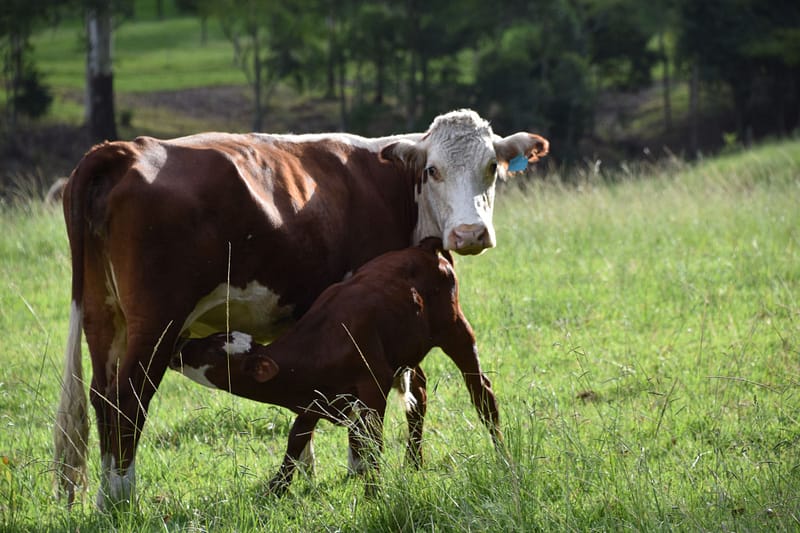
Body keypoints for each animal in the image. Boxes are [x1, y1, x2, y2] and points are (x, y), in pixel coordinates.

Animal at [171, 237, 501, 495]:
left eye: (213, 349)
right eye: (214, 337)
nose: (179, 346)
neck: (317, 347)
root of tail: (425, 248)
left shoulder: (374, 385)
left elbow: (371, 443)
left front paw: (373, 493)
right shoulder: (312, 401)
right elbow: (295, 442)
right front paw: (276, 489)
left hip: (456, 331)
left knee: (481, 393)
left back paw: (501, 452)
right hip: (409, 351)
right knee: (417, 397)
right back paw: (414, 463)